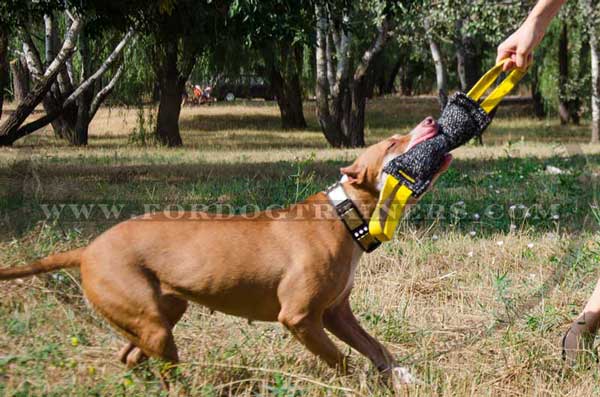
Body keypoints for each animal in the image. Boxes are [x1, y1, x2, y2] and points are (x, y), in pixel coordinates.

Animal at [0, 117, 450, 384]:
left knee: (130, 354)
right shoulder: (301, 317)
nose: (431, 120)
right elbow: (341, 362)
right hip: (152, 321)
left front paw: (401, 378)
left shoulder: (337, 313)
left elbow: (376, 347)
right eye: (393, 142)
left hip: (161, 313)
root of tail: (87, 248)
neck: (345, 214)